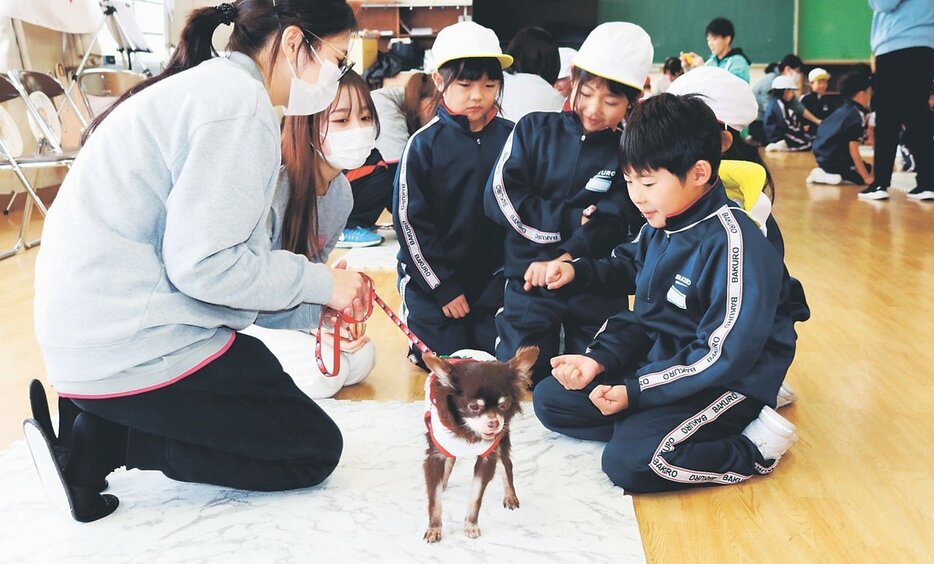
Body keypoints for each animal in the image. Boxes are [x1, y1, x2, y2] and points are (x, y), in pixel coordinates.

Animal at [420, 344, 536, 540]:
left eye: (504, 405)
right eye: (474, 407)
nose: (494, 423)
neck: (468, 431)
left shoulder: (487, 457)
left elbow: (475, 496)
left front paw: (470, 525)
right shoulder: (435, 456)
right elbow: (434, 499)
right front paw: (434, 528)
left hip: (502, 440)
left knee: (506, 465)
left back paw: (510, 496)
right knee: (450, 459)